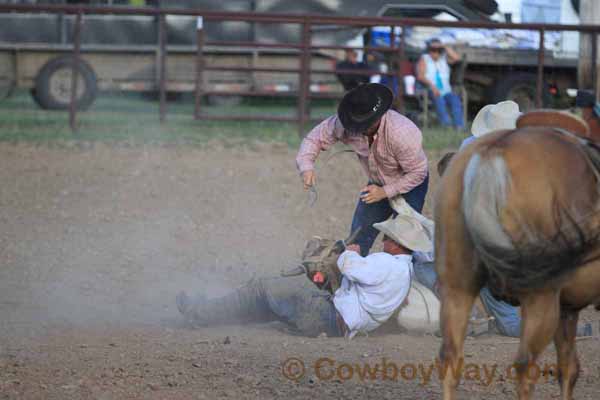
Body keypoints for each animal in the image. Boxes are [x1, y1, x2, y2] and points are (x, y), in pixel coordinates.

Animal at [434, 118, 600, 396]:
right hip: (540, 298)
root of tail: (491, 153)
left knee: (450, 359)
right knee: (525, 368)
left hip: (456, 288)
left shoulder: (567, 309)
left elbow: (568, 368)